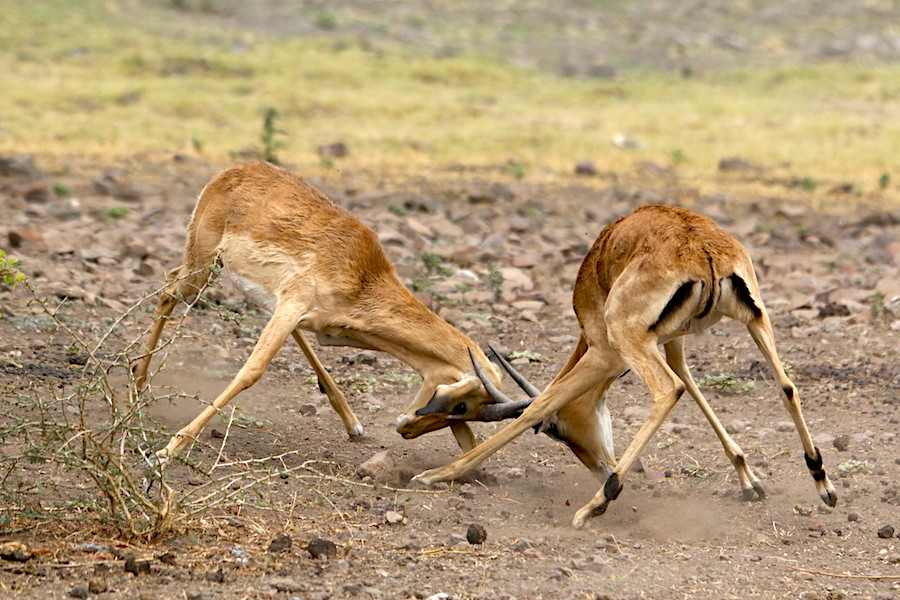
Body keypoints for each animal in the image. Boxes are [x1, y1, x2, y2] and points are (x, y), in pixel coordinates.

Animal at [131, 161, 529, 459]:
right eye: (462, 405)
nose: (407, 429)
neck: (365, 276)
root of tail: (237, 170)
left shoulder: (321, 325)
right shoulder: (293, 305)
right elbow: (251, 371)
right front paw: (169, 449)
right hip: (202, 267)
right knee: (168, 288)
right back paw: (136, 388)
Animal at [414, 204, 837, 528]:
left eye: (557, 432)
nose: (599, 465)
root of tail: (703, 251)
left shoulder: (604, 353)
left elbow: (542, 403)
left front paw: (438, 474)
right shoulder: (671, 342)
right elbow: (691, 381)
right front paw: (750, 481)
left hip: (630, 339)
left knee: (668, 391)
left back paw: (597, 503)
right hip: (756, 320)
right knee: (786, 387)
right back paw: (823, 483)